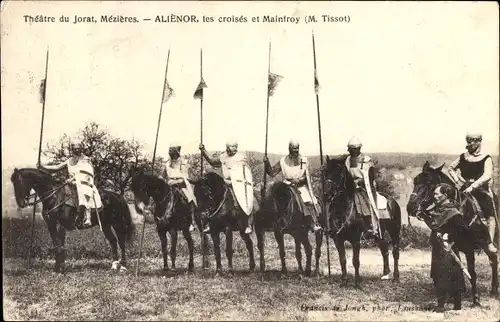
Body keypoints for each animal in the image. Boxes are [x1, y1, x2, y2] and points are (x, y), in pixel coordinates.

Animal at [322, 156, 404, 286]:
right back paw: (385, 274)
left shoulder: (355, 239)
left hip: (394, 231)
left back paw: (396, 277)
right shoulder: (337, 239)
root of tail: (392, 201)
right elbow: (342, 260)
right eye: (325, 172)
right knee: (384, 249)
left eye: (340, 174)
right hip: (380, 233)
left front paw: (357, 282)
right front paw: (344, 281)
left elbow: (355, 261)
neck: (344, 208)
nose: (326, 195)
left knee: (395, 252)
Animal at [408, 162, 498, 304]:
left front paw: (476, 299)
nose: (410, 207)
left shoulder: (468, 249)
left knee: (494, 259)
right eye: (415, 181)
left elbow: (472, 273)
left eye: (429, 183)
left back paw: (494, 290)